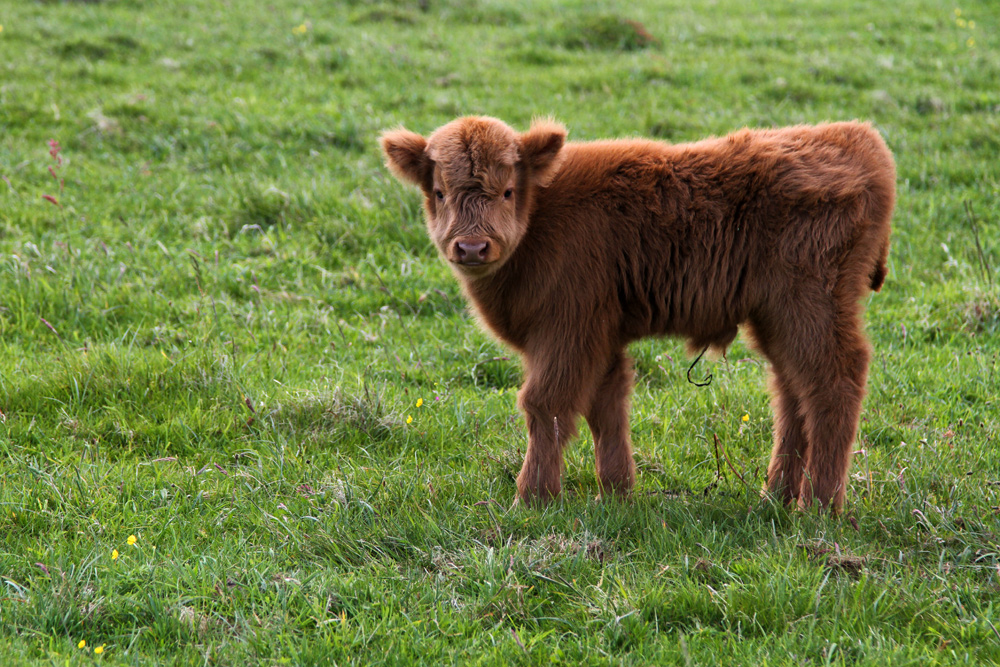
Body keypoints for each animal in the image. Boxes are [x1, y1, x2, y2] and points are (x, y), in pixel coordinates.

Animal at [382, 116, 900, 512]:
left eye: (508, 190)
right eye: (440, 192)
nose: (471, 247)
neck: (543, 215)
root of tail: (856, 136)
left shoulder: (568, 329)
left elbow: (545, 403)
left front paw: (531, 499)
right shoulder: (601, 337)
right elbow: (606, 407)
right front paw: (615, 494)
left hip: (810, 308)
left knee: (833, 383)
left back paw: (818, 506)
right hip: (777, 318)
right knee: (793, 392)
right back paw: (775, 495)